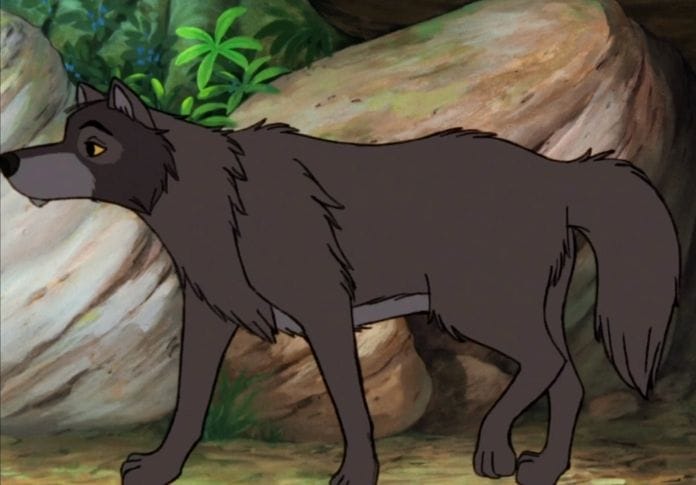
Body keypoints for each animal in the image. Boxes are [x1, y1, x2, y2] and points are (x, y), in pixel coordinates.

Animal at [0, 78, 680, 485]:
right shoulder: (211, 320)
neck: (214, 197)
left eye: (94, 146)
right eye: (66, 134)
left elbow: (351, 406)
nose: (7, 162)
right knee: (566, 382)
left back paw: (494, 449)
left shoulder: (325, 315)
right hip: (509, 312)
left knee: (549, 369)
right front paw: (161, 468)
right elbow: (190, 403)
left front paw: (357, 474)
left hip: (475, 309)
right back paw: (540, 467)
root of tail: (557, 173)